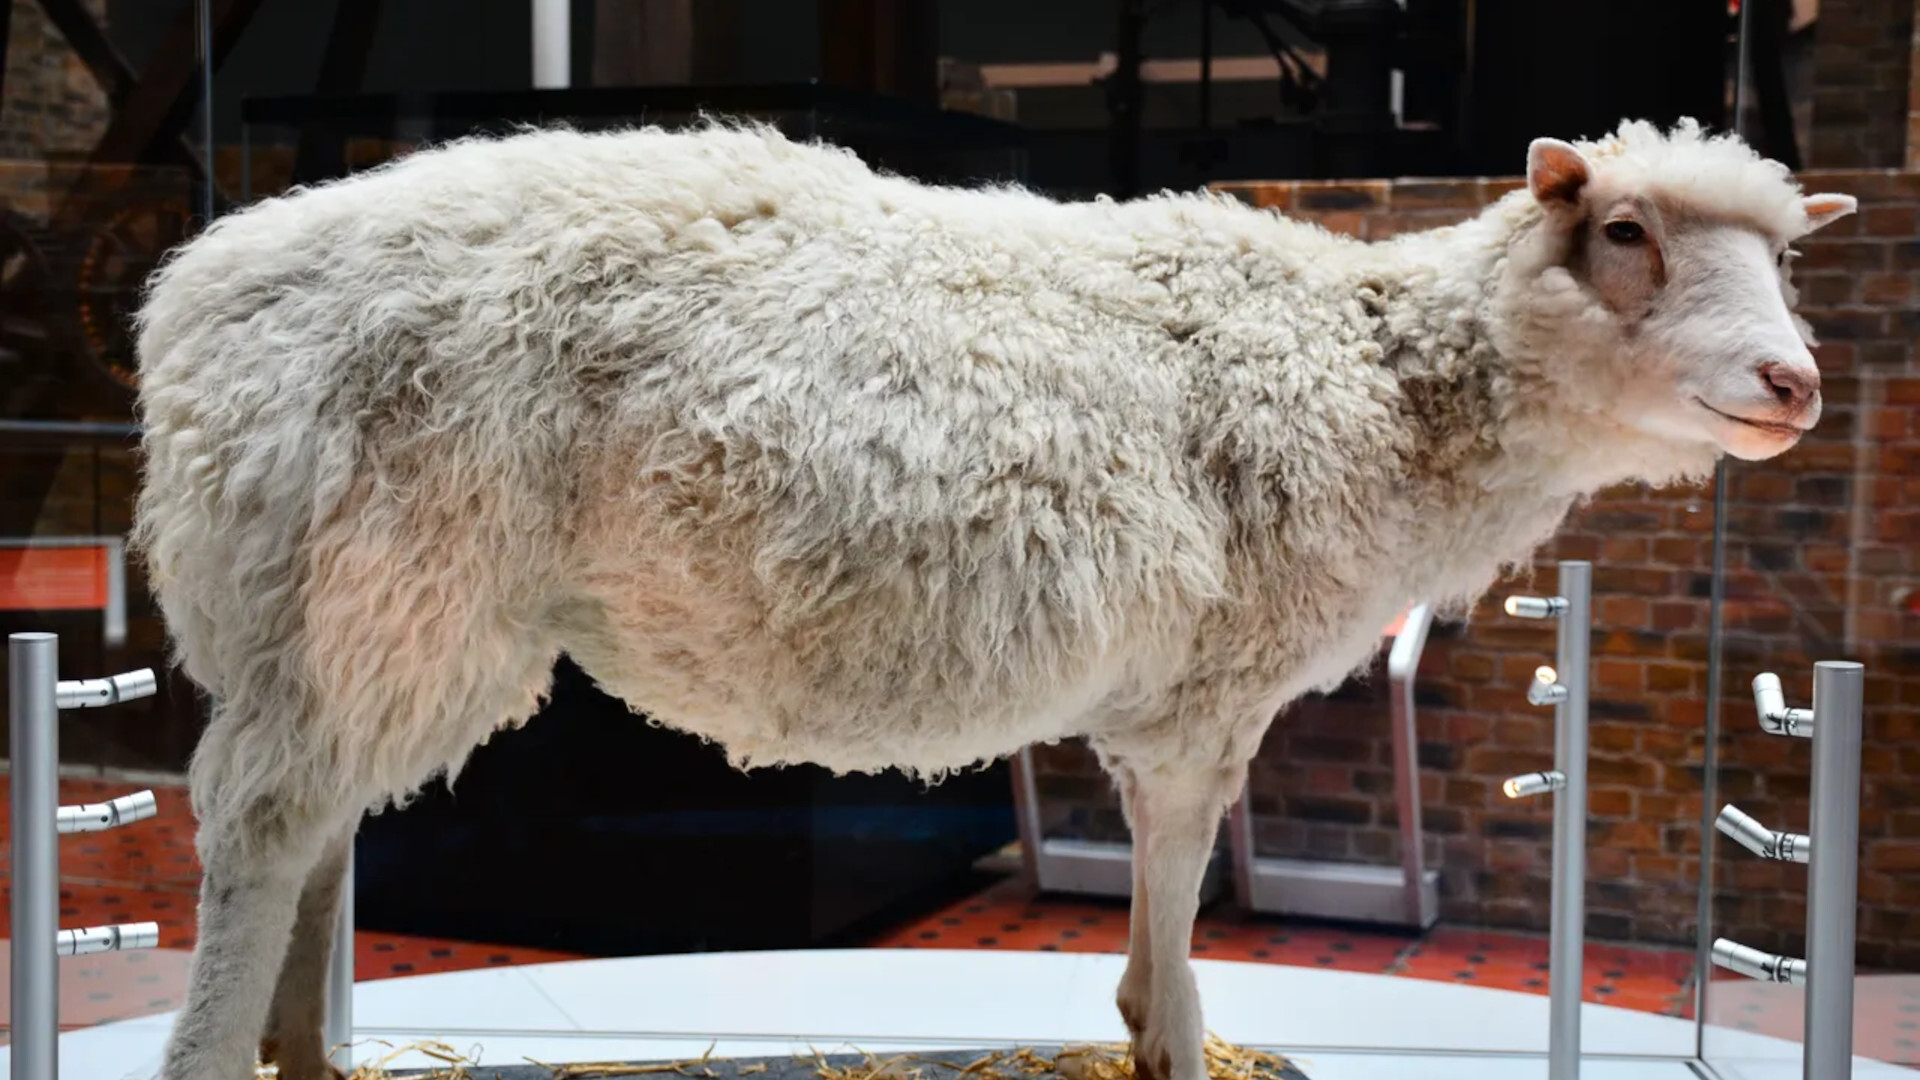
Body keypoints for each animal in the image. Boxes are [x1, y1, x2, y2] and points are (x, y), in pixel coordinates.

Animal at [131, 116, 1853, 1080]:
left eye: (1787, 261)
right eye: (1624, 231)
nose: (1797, 384)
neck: (1374, 376)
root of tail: (197, 298)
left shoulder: (1191, 688)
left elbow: (1170, 867)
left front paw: (1153, 1020)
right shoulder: (1205, 685)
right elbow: (1176, 867)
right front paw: (1171, 1036)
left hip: (344, 612)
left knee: (320, 821)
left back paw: (307, 1053)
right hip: (389, 571)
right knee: (269, 829)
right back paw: (222, 1051)